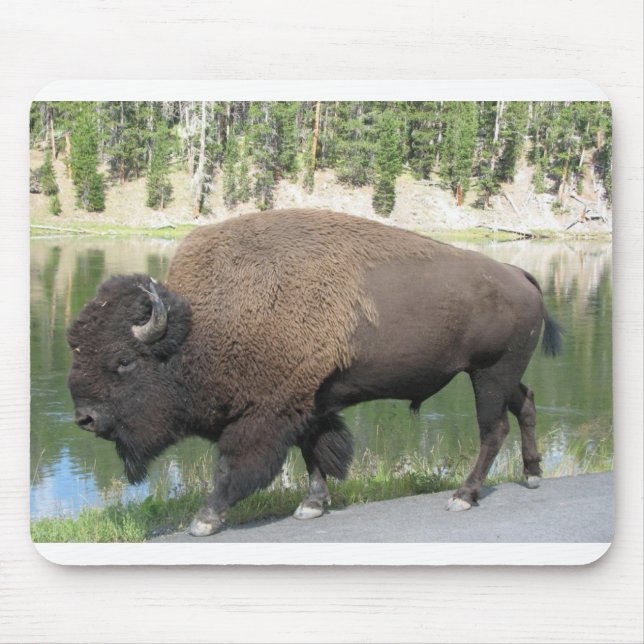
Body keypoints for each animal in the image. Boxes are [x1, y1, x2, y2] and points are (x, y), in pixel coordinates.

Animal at [68, 209, 562, 537]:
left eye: (124, 361)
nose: (84, 418)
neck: (201, 326)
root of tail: (519, 274)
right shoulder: (308, 402)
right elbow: (314, 453)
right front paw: (312, 505)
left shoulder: (267, 414)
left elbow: (232, 466)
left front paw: (205, 519)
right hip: (501, 376)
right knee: (527, 404)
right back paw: (532, 474)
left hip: (488, 375)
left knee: (492, 429)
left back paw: (463, 496)